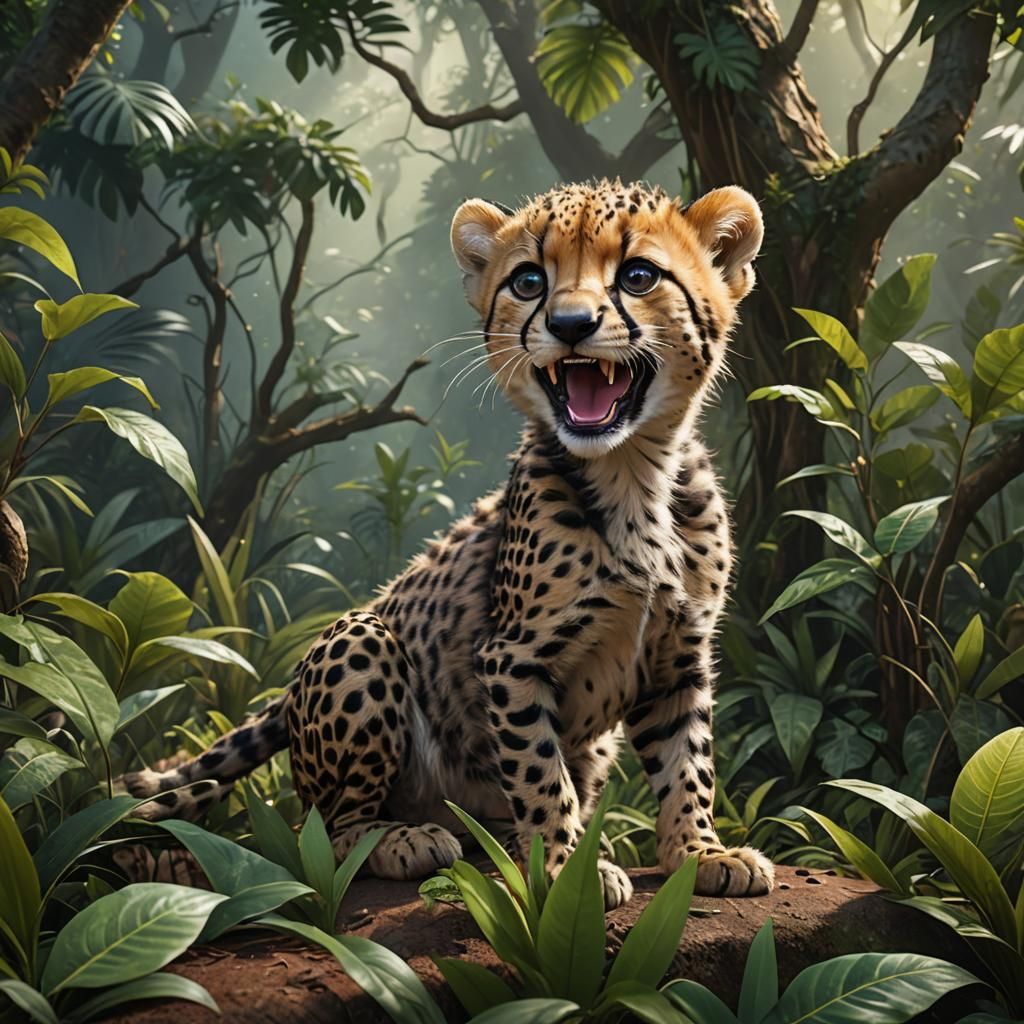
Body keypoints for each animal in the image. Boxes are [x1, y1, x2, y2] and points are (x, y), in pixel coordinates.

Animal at [124, 179, 774, 910]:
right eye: (529, 281)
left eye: (638, 276)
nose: (569, 325)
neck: (632, 474)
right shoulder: (511, 659)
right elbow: (540, 775)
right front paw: (561, 874)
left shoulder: (678, 655)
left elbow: (689, 765)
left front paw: (700, 853)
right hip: (362, 641)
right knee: (321, 829)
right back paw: (407, 841)